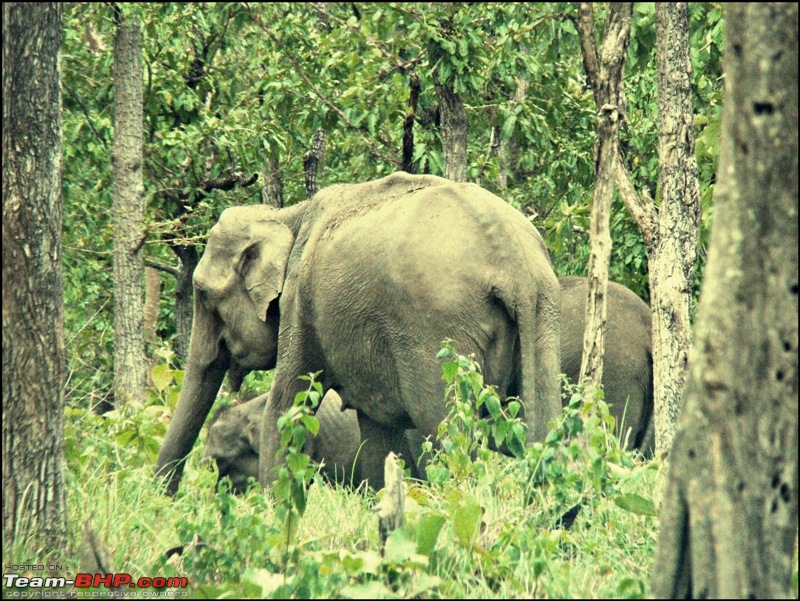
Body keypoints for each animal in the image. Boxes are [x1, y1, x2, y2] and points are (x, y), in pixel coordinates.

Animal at [153, 171, 560, 494]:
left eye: (204, 295)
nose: (164, 498)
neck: (287, 216)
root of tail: (511, 261)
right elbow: (378, 433)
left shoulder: (301, 301)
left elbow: (287, 405)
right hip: (542, 311)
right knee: (547, 425)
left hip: (438, 331)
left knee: (446, 432)